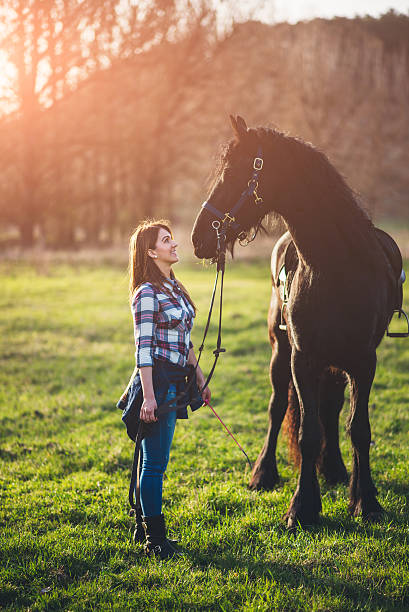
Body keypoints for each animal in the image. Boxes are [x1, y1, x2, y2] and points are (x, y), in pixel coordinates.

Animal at [191, 117, 404, 528]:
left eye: (233, 173)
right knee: (277, 408)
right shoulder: (302, 358)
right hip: (280, 353)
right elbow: (307, 433)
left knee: (332, 409)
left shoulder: (363, 361)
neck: (336, 268)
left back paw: (335, 470)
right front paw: (303, 508)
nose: (199, 237)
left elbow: (358, 428)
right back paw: (264, 473)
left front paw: (365, 500)